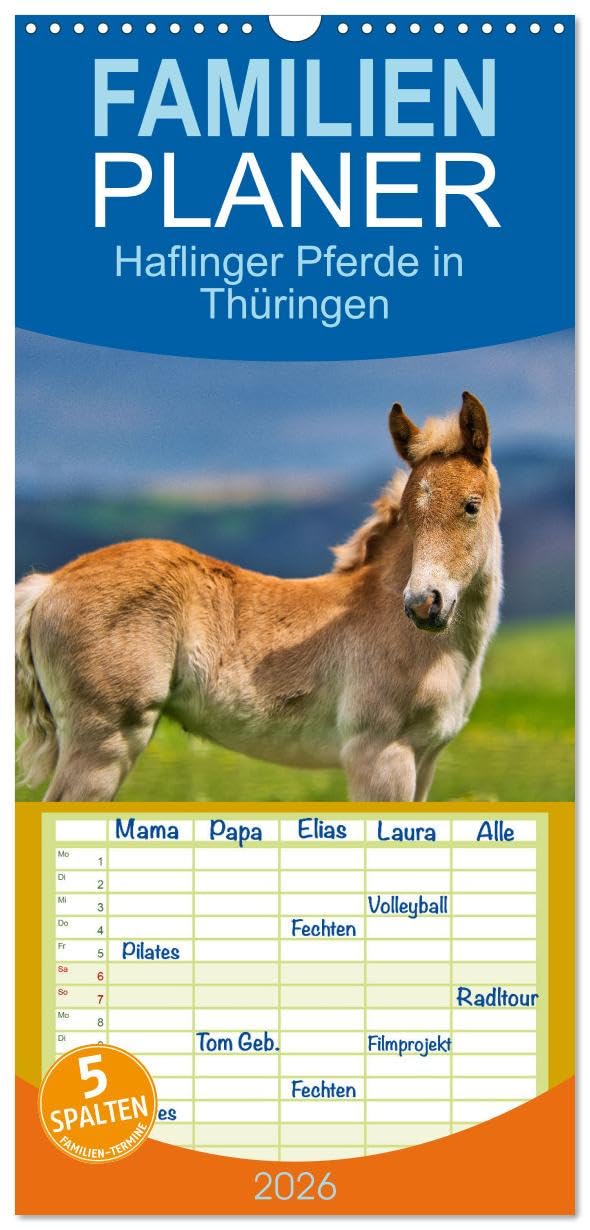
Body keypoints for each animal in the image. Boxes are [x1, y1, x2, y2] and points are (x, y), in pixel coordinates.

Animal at [15, 391, 502, 803]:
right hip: (105, 743)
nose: (423, 604)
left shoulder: (426, 760)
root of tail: (50, 583)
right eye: (410, 516)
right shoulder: (380, 756)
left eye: (471, 505)